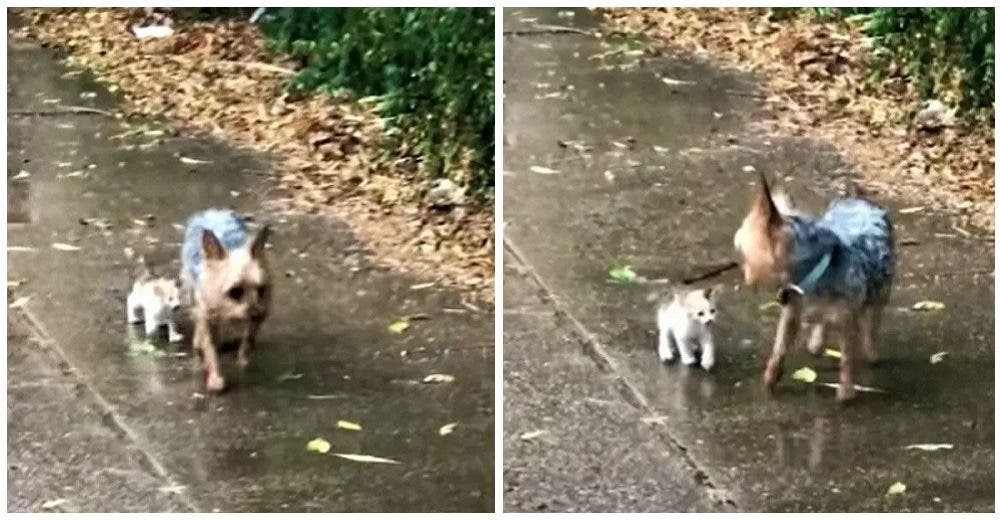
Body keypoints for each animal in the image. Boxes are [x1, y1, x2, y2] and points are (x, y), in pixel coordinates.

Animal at [181, 209, 272, 392]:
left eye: (261, 289)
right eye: (235, 292)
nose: (258, 313)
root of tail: (212, 211)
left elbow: (249, 339)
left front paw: (244, 360)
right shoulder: (206, 313)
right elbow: (211, 348)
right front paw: (215, 377)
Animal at [732, 175, 896, 402]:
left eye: (744, 251)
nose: (744, 273)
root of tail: (858, 198)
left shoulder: (847, 319)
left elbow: (847, 357)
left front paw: (846, 390)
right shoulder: (791, 313)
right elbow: (779, 348)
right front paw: (771, 378)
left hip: (882, 288)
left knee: (874, 318)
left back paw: (870, 349)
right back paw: (817, 341)